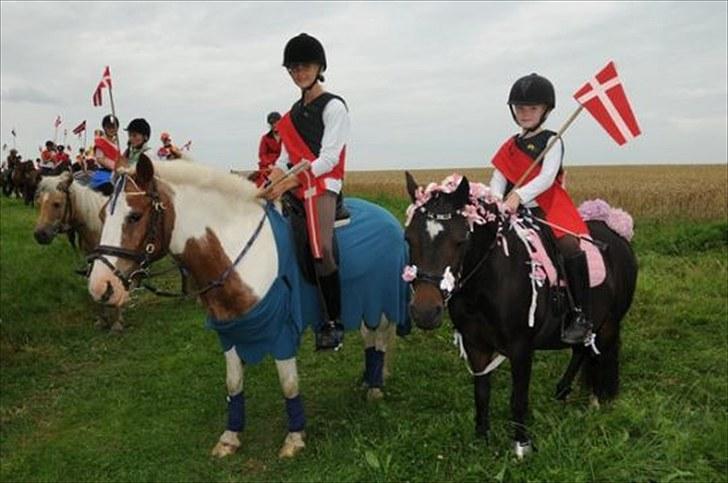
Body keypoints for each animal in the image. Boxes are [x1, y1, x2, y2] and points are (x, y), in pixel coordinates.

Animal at [85, 157, 410, 460]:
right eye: (101, 215)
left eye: (135, 216)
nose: (101, 287)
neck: (234, 250)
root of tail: (390, 220)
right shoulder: (229, 332)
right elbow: (233, 383)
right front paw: (230, 437)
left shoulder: (280, 332)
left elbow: (289, 384)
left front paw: (294, 438)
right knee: (370, 336)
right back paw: (368, 378)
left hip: (382, 300)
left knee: (380, 338)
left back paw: (375, 386)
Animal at [404, 172, 636, 460]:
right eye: (408, 238)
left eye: (461, 240)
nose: (425, 312)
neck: (489, 281)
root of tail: (617, 231)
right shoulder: (475, 344)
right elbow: (481, 392)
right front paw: (482, 437)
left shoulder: (521, 348)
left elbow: (518, 398)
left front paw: (522, 445)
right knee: (581, 350)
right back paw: (563, 391)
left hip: (609, 324)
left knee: (602, 355)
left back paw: (599, 399)